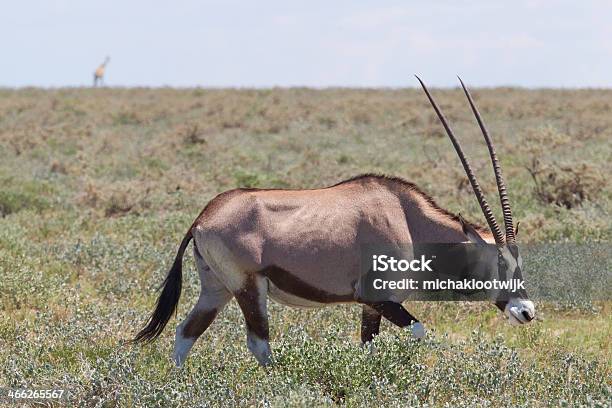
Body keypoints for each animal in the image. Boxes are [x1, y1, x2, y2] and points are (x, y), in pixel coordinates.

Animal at [135, 77, 536, 366]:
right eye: (498, 263)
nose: (526, 312)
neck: (407, 219)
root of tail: (203, 216)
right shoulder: (377, 297)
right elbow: (421, 332)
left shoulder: (372, 306)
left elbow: (368, 346)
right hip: (249, 288)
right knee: (258, 343)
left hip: (216, 288)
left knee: (185, 333)